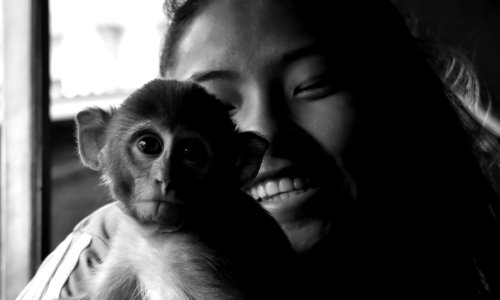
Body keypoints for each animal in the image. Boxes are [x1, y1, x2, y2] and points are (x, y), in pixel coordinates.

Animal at [77, 79, 296, 300]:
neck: (158, 236)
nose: (165, 179)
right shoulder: (127, 247)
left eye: (190, 151)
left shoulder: (195, 257)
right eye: (148, 145)